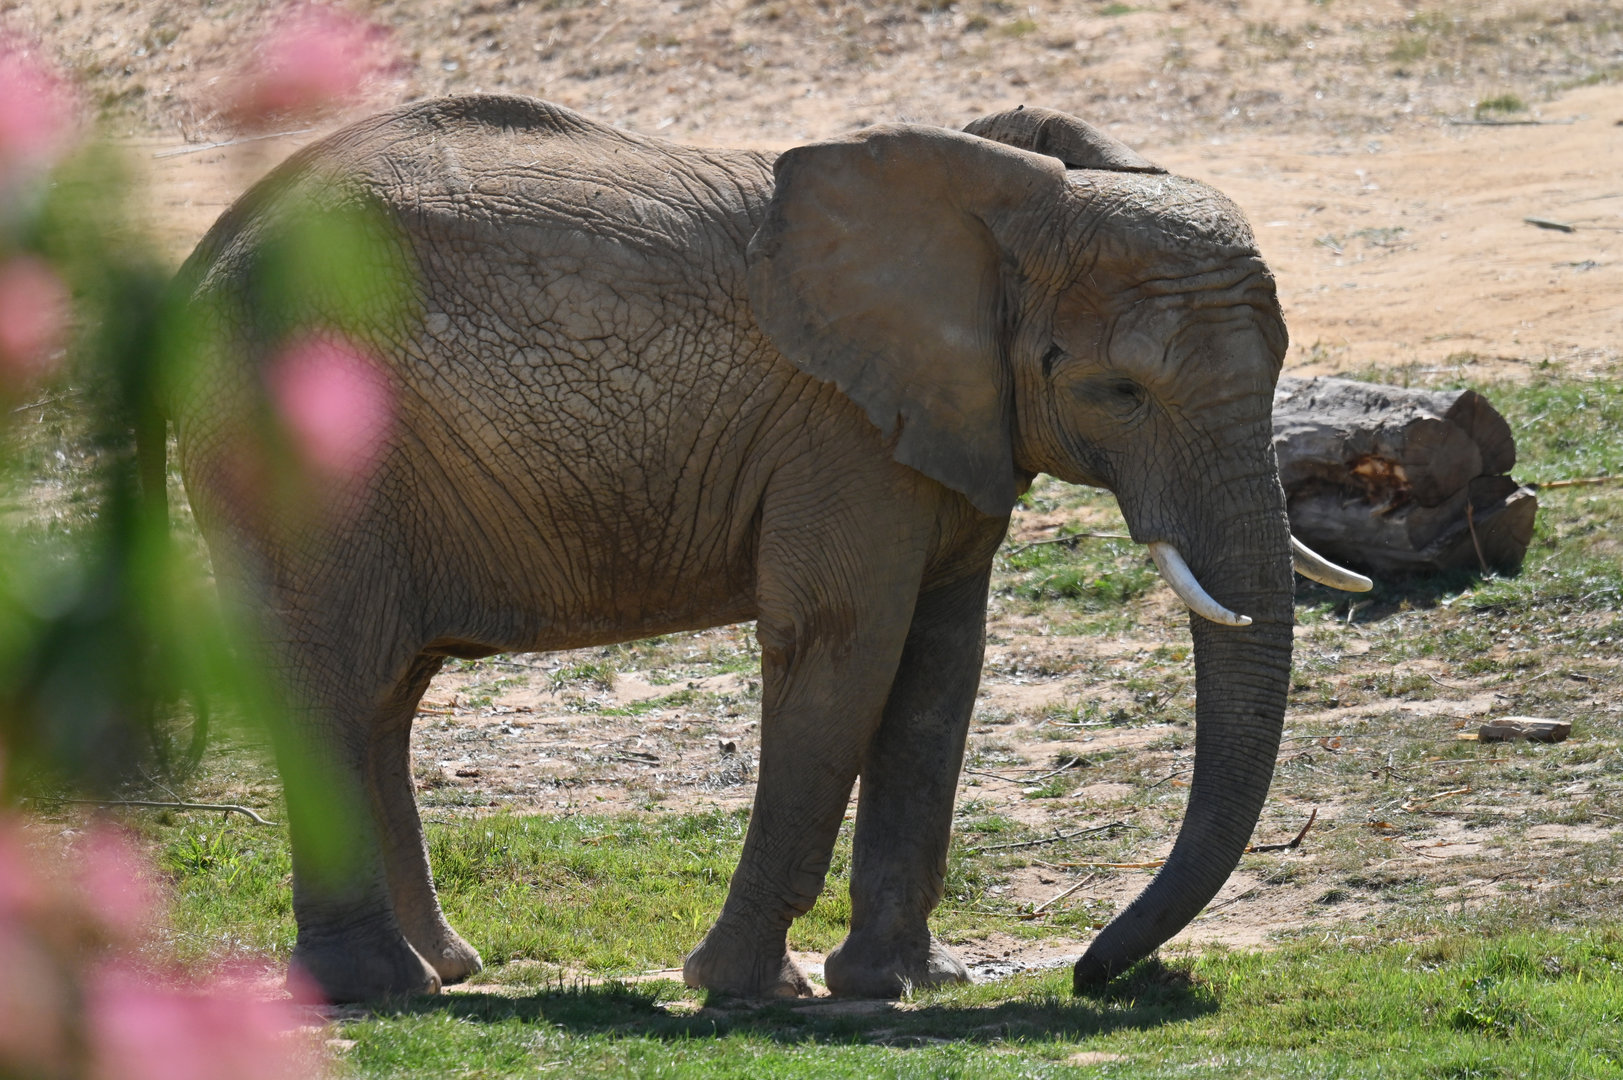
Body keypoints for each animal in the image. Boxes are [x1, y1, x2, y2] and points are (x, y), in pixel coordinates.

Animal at [165, 95, 1371, 1003]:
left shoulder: (943, 427)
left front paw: (901, 986)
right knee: (331, 673)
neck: (1002, 200)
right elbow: (845, 645)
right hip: (293, 430)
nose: (1089, 974)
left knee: (382, 693)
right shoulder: (842, 431)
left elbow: (941, 669)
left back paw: (445, 968)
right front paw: (748, 990)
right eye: (1118, 391)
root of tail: (205, 255)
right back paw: (379, 988)